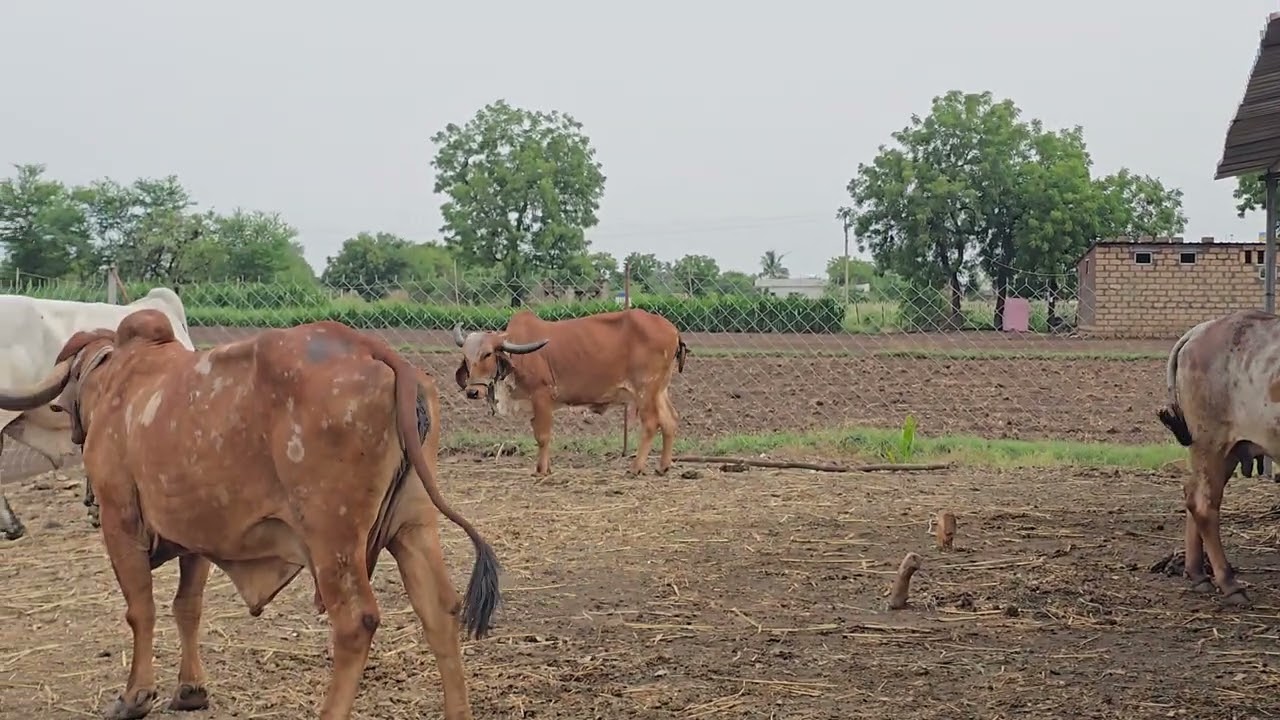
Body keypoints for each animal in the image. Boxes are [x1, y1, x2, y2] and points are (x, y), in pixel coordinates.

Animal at [452, 308, 689, 476]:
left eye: (487, 354)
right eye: (466, 357)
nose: (472, 392)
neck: (518, 353)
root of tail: (673, 330)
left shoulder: (542, 396)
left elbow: (542, 436)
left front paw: (541, 470)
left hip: (645, 390)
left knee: (651, 423)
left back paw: (635, 467)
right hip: (659, 390)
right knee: (670, 420)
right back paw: (662, 467)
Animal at [1156, 309, 1280, 607]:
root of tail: (1201, 329)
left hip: (1228, 451)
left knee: (1192, 494)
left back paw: (1198, 574)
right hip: (1212, 442)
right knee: (1203, 504)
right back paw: (1229, 583)